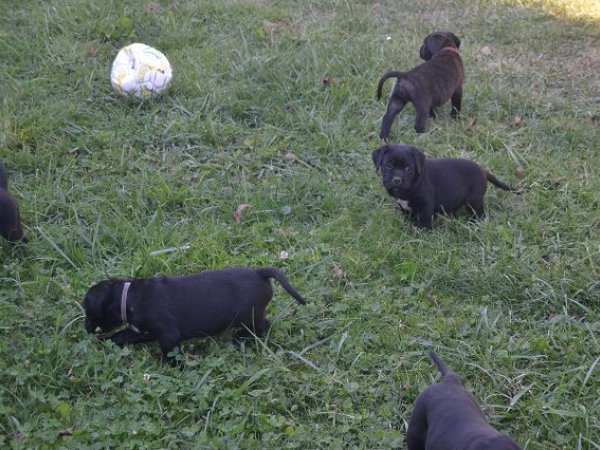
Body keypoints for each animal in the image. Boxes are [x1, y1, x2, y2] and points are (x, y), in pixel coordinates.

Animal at [84, 267, 306, 363]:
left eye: (88, 311)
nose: (86, 329)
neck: (127, 297)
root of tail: (260, 272)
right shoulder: (143, 331)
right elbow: (121, 336)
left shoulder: (168, 335)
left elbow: (169, 354)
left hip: (249, 316)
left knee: (264, 326)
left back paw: (244, 341)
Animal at [372, 144, 522, 229]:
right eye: (388, 165)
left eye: (408, 169)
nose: (397, 180)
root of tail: (483, 171)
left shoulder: (425, 204)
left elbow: (424, 219)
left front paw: (421, 232)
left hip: (474, 201)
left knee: (479, 213)